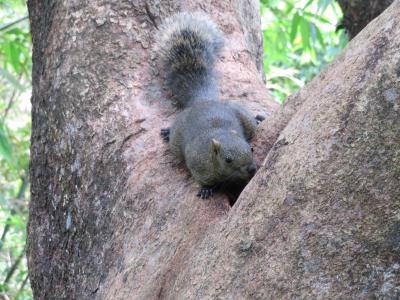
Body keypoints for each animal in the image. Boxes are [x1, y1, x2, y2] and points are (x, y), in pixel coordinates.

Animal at [158, 12, 264, 199]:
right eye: (228, 159)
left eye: (251, 149)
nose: (251, 169)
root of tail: (203, 100)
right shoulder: (198, 163)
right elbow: (203, 180)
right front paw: (207, 189)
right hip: (177, 137)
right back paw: (167, 132)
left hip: (242, 115)